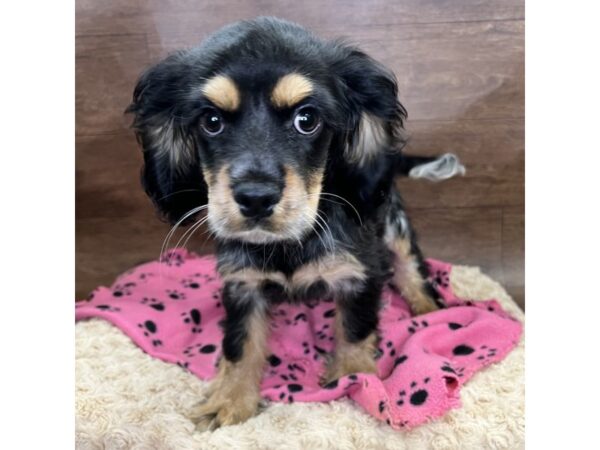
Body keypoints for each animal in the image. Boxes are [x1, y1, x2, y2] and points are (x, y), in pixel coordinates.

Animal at [127, 14, 464, 428]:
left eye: (307, 119)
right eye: (211, 121)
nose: (256, 198)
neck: (290, 241)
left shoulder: (360, 272)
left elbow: (355, 327)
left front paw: (354, 376)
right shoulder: (242, 282)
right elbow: (240, 343)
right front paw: (229, 399)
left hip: (394, 227)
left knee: (410, 270)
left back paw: (431, 312)